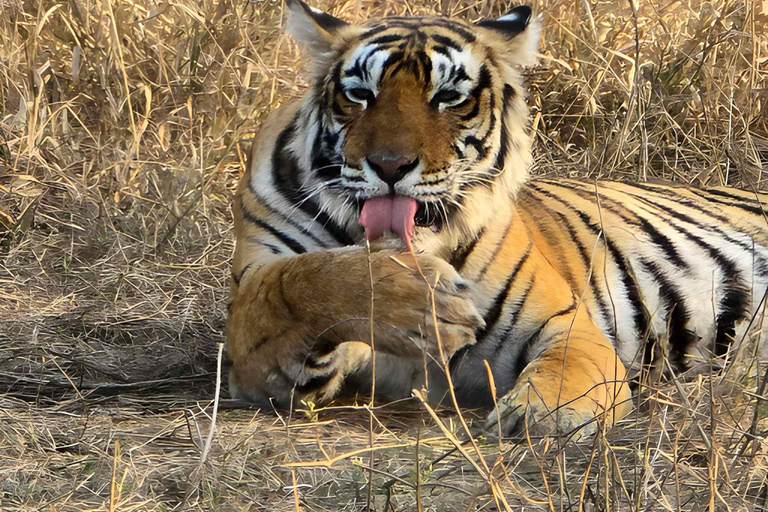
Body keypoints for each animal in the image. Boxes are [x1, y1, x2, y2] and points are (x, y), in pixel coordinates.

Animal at [226, 0, 768, 438]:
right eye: (360, 94)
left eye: (448, 97)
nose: (390, 166)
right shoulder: (260, 328)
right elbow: (295, 285)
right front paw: (421, 305)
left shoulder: (566, 323)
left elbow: (569, 372)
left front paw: (540, 415)